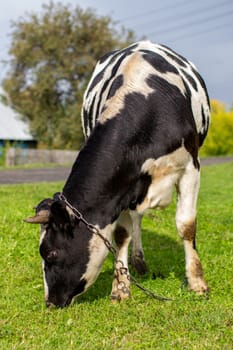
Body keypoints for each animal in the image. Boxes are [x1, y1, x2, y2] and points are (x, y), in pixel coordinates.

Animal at [24, 41, 210, 308]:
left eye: (50, 253)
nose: (50, 302)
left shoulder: (190, 168)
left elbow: (186, 225)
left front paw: (197, 283)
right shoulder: (121, 186)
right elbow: (122, 234)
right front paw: (121, 287)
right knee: (136, 219)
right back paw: (138, 260)